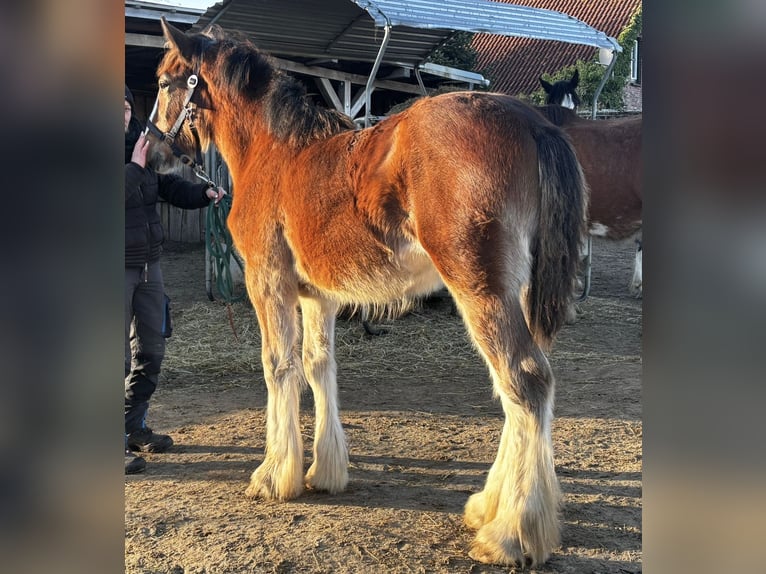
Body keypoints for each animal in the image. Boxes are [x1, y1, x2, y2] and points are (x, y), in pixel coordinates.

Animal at [153, 19, 587, 568]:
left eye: (164, 81)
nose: (151, 151)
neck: (274, 153)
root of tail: (535, 123)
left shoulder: (267, 283)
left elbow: (279, 367)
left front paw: (274, 476)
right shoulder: (318, 296)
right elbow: (318, 366)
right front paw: (324, 471)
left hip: (479, 287)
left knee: (524, 381)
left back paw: (511, 534)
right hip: (516, 292)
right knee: (520, 390)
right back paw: (490, 505)